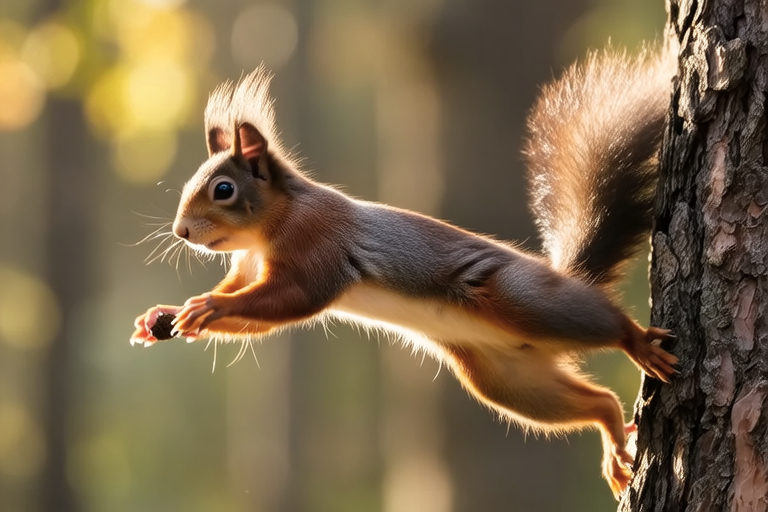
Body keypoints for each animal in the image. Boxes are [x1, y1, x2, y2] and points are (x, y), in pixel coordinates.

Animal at [131, 44, 678, 498]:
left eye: (223, 190)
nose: (181, 231)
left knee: (603, 320)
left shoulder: (319, 248)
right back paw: (613, 440)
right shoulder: (247, 265)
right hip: (505, 379)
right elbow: (252, 309)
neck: (270, 229)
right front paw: (166, 315)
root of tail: (562, 277)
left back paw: (636, 342)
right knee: (599, 400)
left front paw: (209, 305)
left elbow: (292, 300)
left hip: (523, 300)